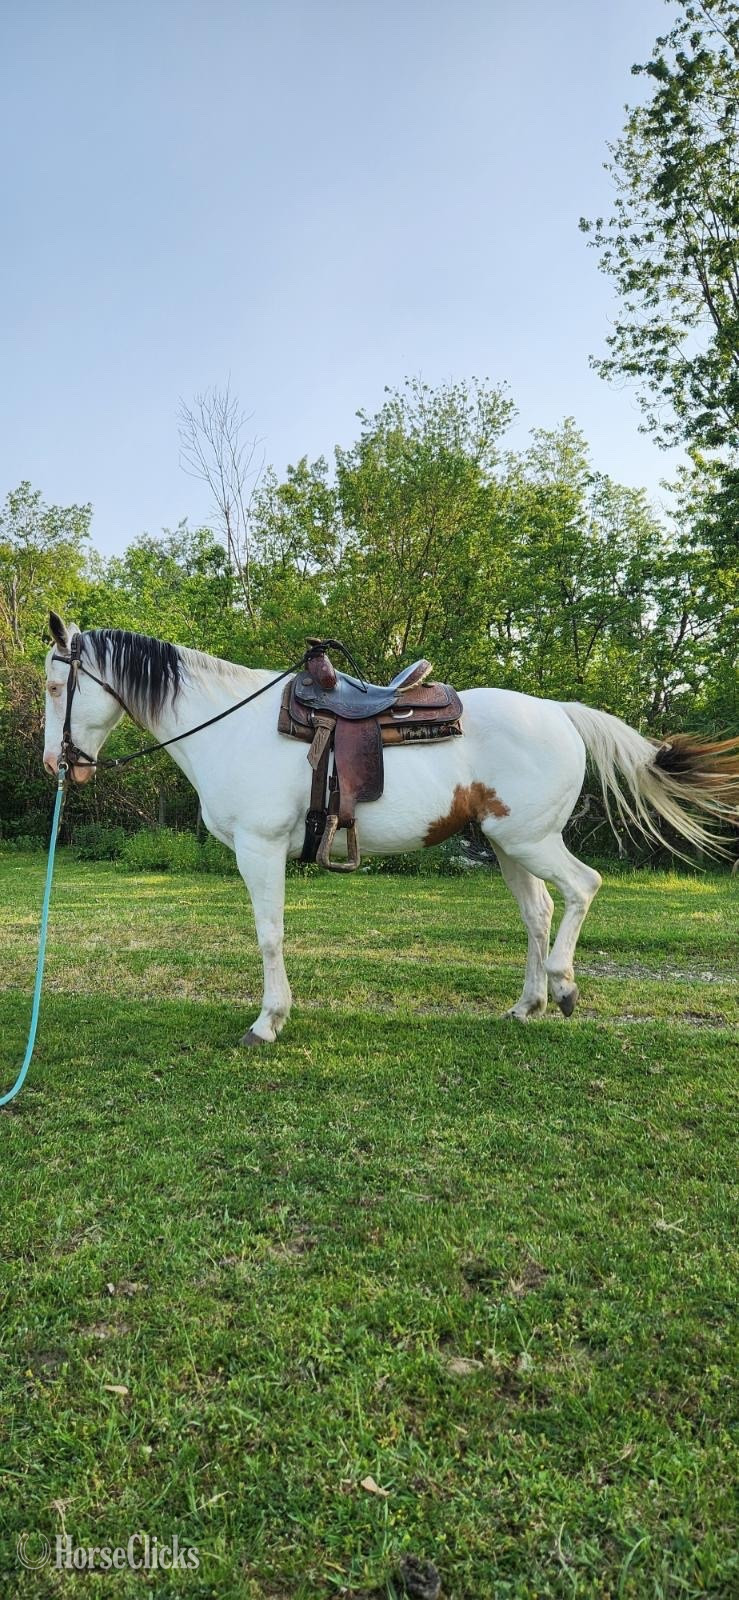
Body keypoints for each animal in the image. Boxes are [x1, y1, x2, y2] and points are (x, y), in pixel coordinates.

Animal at [42, 613, 739, 1044]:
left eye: (55, 685)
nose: (56, 764)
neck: (225, 725)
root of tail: (561, 712)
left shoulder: (258, 850)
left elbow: (269, 936)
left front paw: (268, 1021)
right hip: (510, 846)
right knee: (539, 913)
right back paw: (528, 1004)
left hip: (531, 842)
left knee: (582, 888)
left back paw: (563, 986)